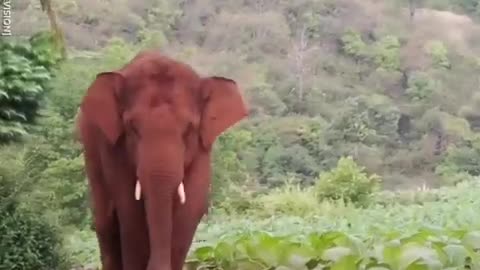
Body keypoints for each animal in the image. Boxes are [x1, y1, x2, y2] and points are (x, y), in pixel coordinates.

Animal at [76, 51, 248, 270]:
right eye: (132, 127)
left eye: (189, 128)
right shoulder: (112, 146)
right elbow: (129, 209)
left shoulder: (203, 147)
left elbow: (190, 207)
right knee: (106, 222)